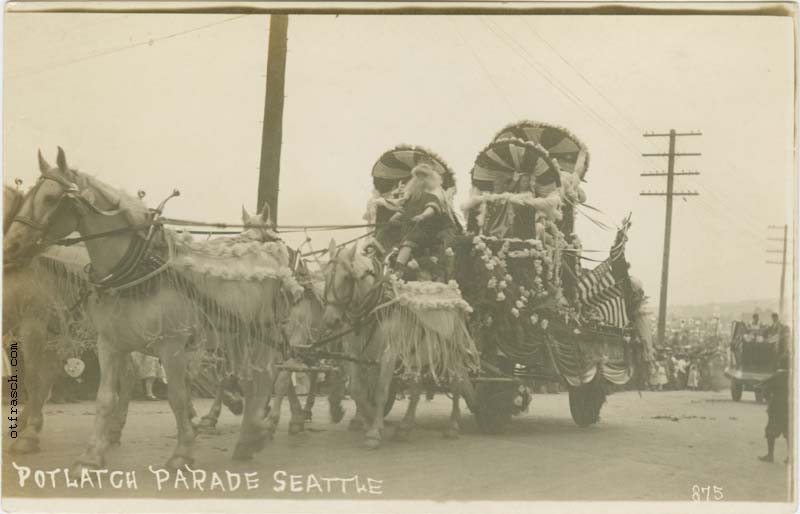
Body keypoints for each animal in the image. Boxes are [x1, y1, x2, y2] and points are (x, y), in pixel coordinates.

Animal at [3, 149, 290, 468]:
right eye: (29, 195)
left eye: (52, 198)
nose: (11, 245)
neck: (138, 269)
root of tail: (267, 255)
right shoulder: (109, 343)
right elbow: (105, 397)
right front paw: (91, 455)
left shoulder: (172, 346)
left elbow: (177, 397)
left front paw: (182, 452)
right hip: (235, 337)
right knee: (248, 378)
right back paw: (248, 436)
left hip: (262, 335)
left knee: (265, 378)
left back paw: (255, 432)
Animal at [322, 240, 478, 448]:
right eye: (325, 276)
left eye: (347, 277)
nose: (330, 320)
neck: (374, 306)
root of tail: (453, 291)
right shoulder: (354, 354)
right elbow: (357, 389)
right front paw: (368, 418)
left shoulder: (390, 353)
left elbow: (380, 390)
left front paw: (374, 432)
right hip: (418, 354)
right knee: (416, 387)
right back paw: (405, 427)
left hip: (450, 352)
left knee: (456, 381)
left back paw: (452, 425)